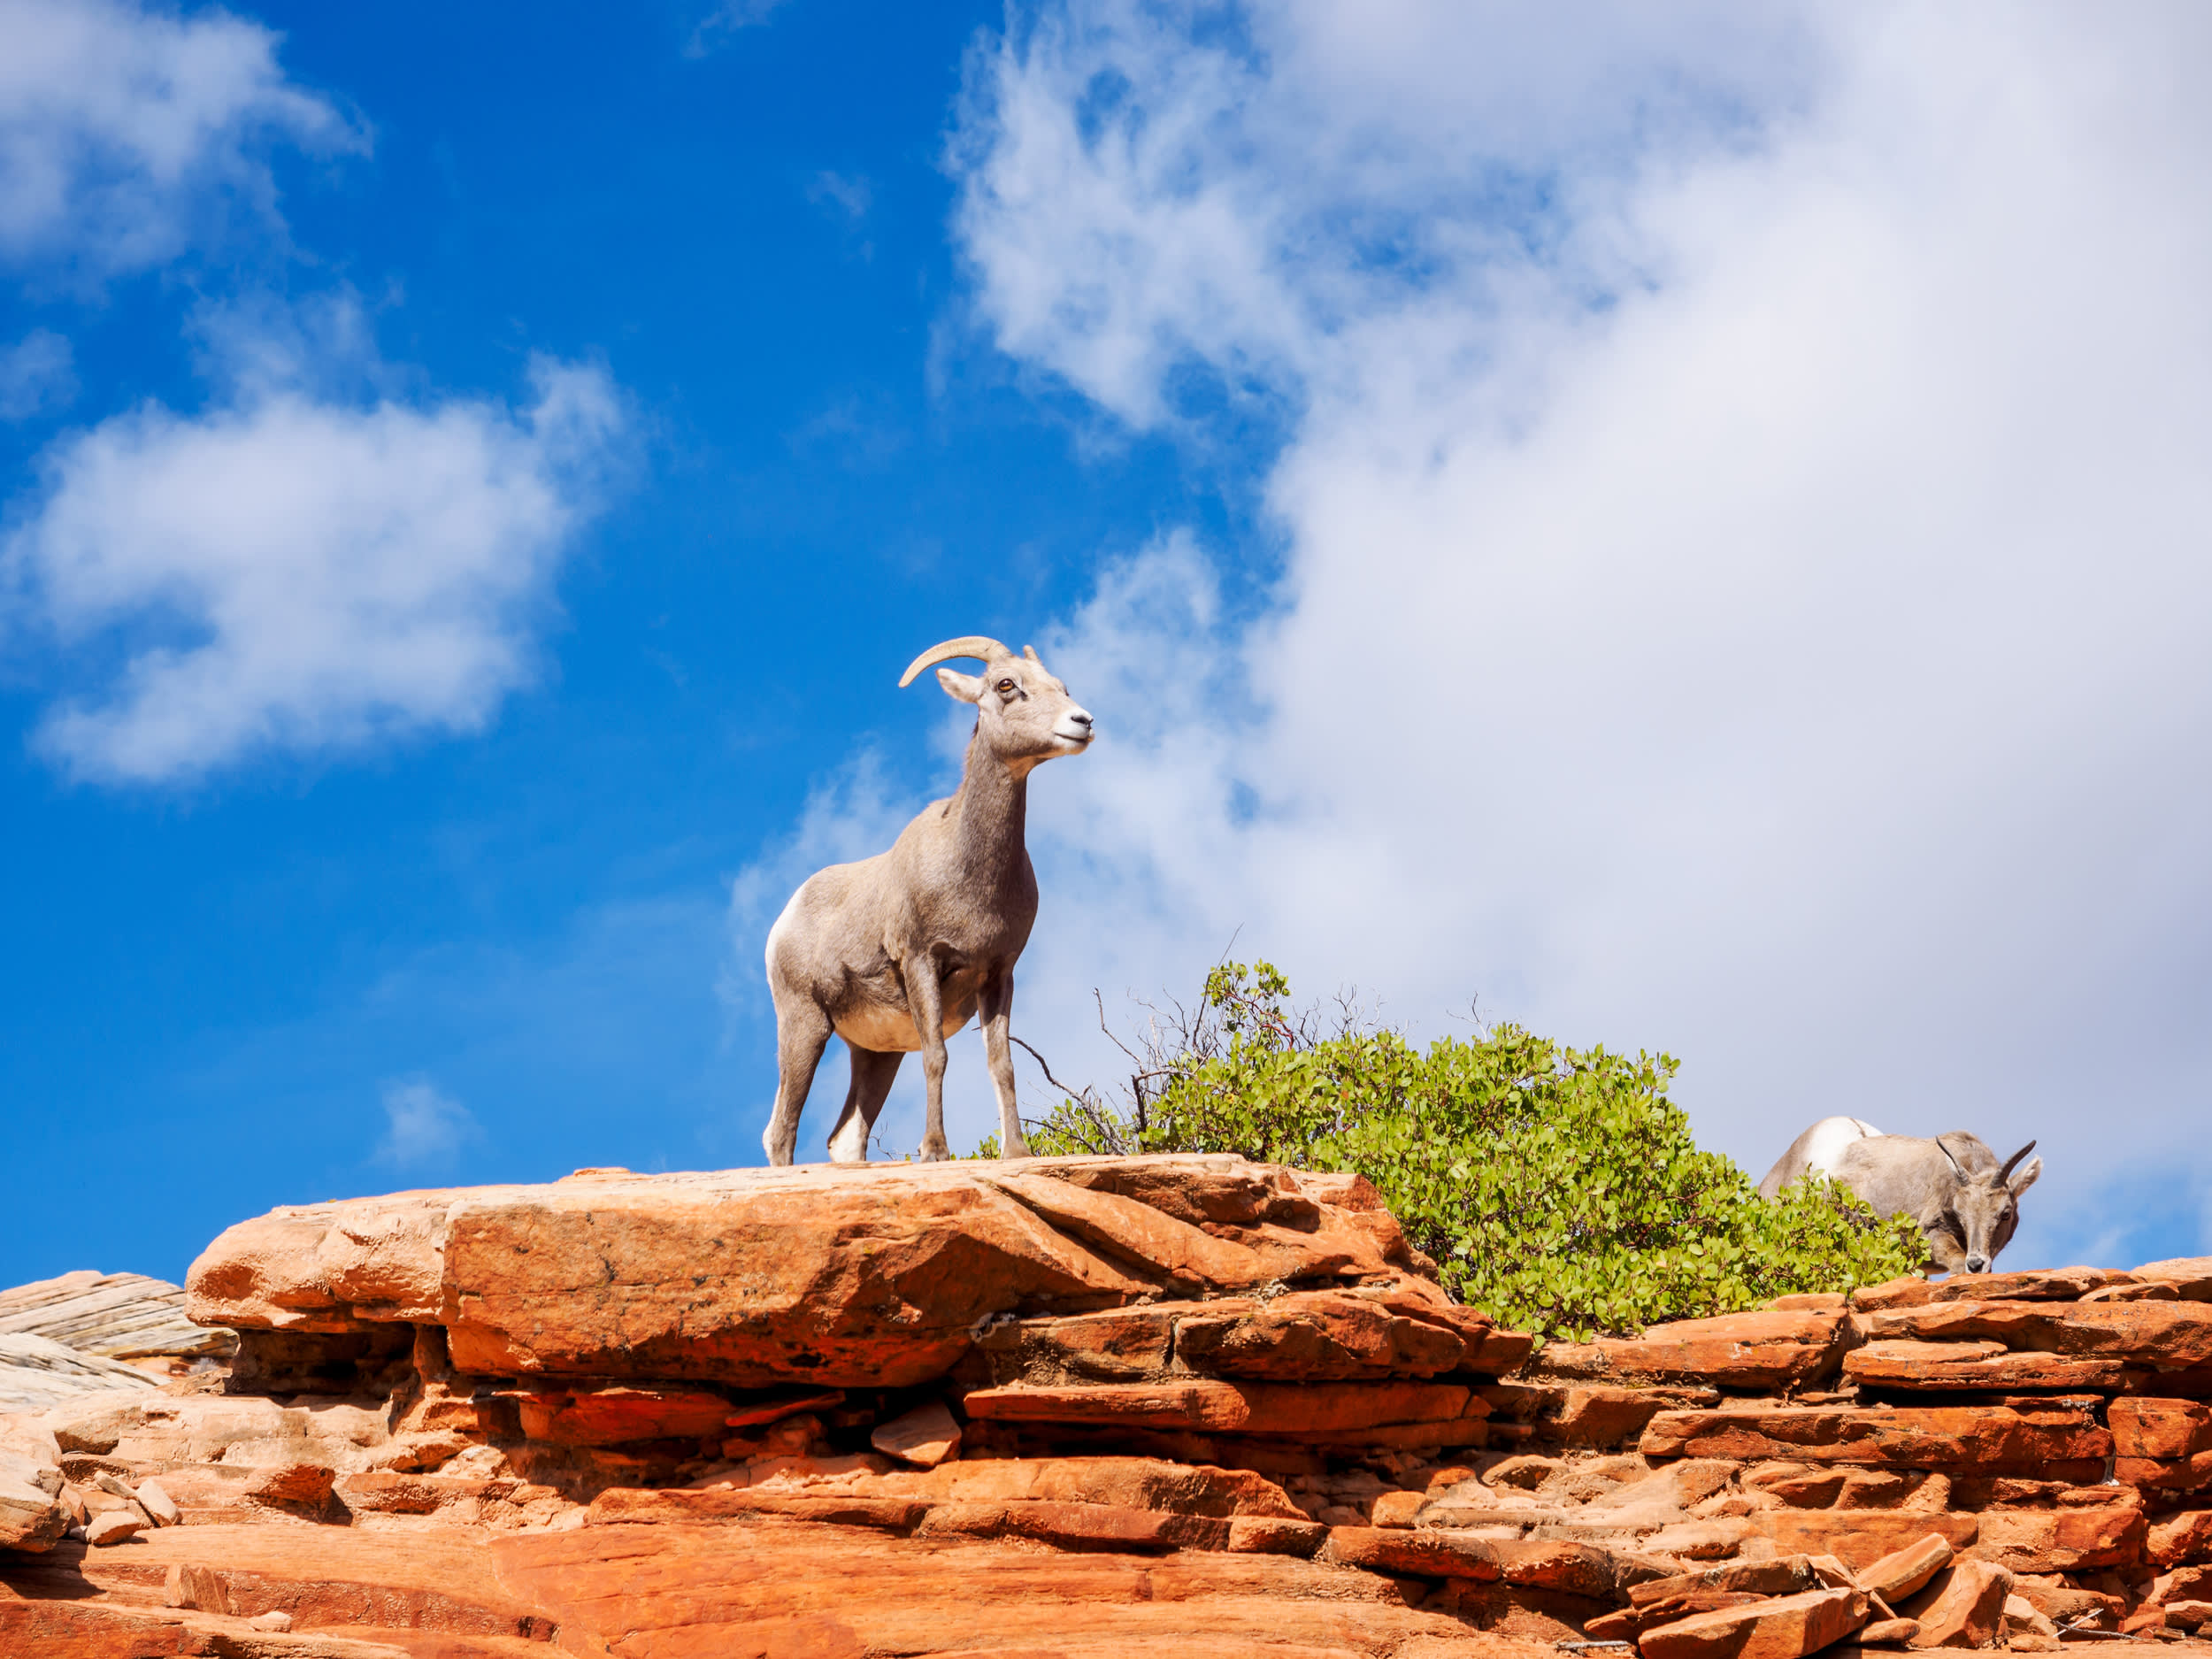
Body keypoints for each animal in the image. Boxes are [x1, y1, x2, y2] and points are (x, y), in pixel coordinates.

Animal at [761, 637, 1097, 1168]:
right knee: (781, 1132)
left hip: (876, 1054)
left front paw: (1017, 1153)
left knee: (846, 1138)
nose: (1081, 721)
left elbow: (1001, 1064)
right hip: (804, 1024)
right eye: (1006, 685)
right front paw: (936, 1152)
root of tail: (784, 921)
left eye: (1061, 686)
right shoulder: (922, 961)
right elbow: (937, 1056)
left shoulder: (999, 973)